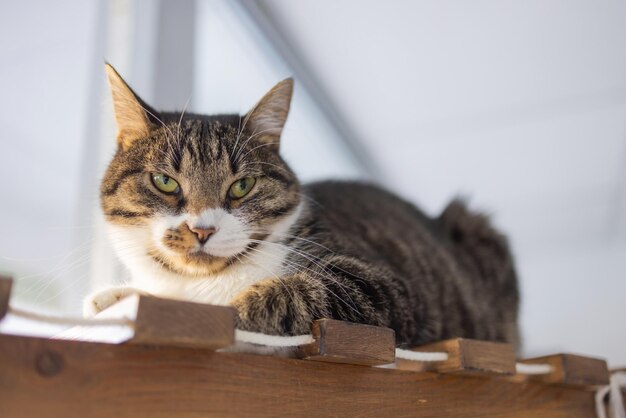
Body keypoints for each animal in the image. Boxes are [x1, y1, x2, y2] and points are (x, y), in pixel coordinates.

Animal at [85, 62, 520, 350]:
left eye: (242, 186)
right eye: (165, 182)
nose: (202, 230)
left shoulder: (385, 284)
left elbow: (294, 293)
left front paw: (237, 304)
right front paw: (114, 297)